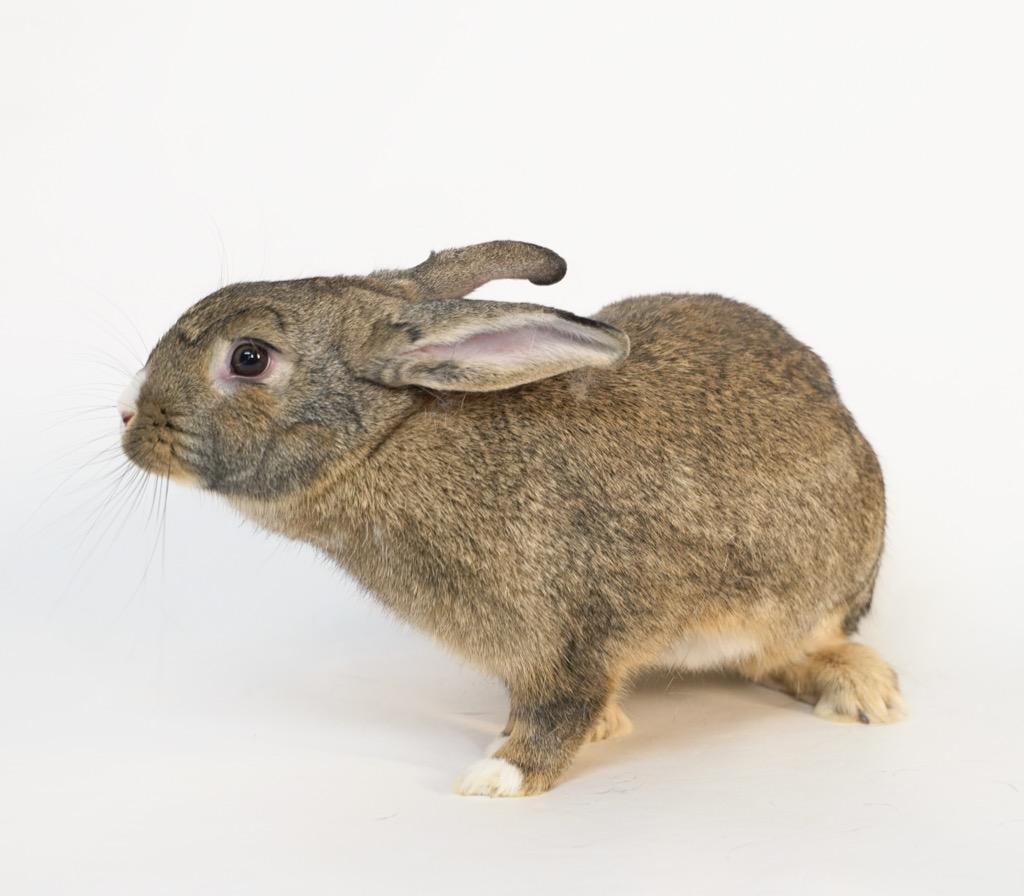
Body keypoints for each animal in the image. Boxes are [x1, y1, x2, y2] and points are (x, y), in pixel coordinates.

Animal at [119, 240, 905, 797]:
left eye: (249, 358)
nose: (127, 413)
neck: (389, 440)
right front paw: (572, 733)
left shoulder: (574, 634)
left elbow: (559, 711)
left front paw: (499, 776)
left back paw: (864, 694)